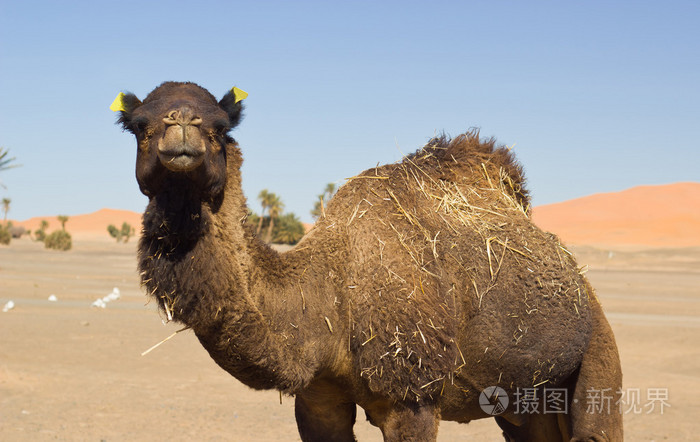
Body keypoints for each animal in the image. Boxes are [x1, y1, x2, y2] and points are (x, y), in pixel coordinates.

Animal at [113, 82, 624, 438]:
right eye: (138, 125)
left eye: (221, 128)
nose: (181, 126)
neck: (329, 292)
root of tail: (579, 279)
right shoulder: (317, 398)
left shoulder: (411, 400)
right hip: (529, 402)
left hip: (597, 359)